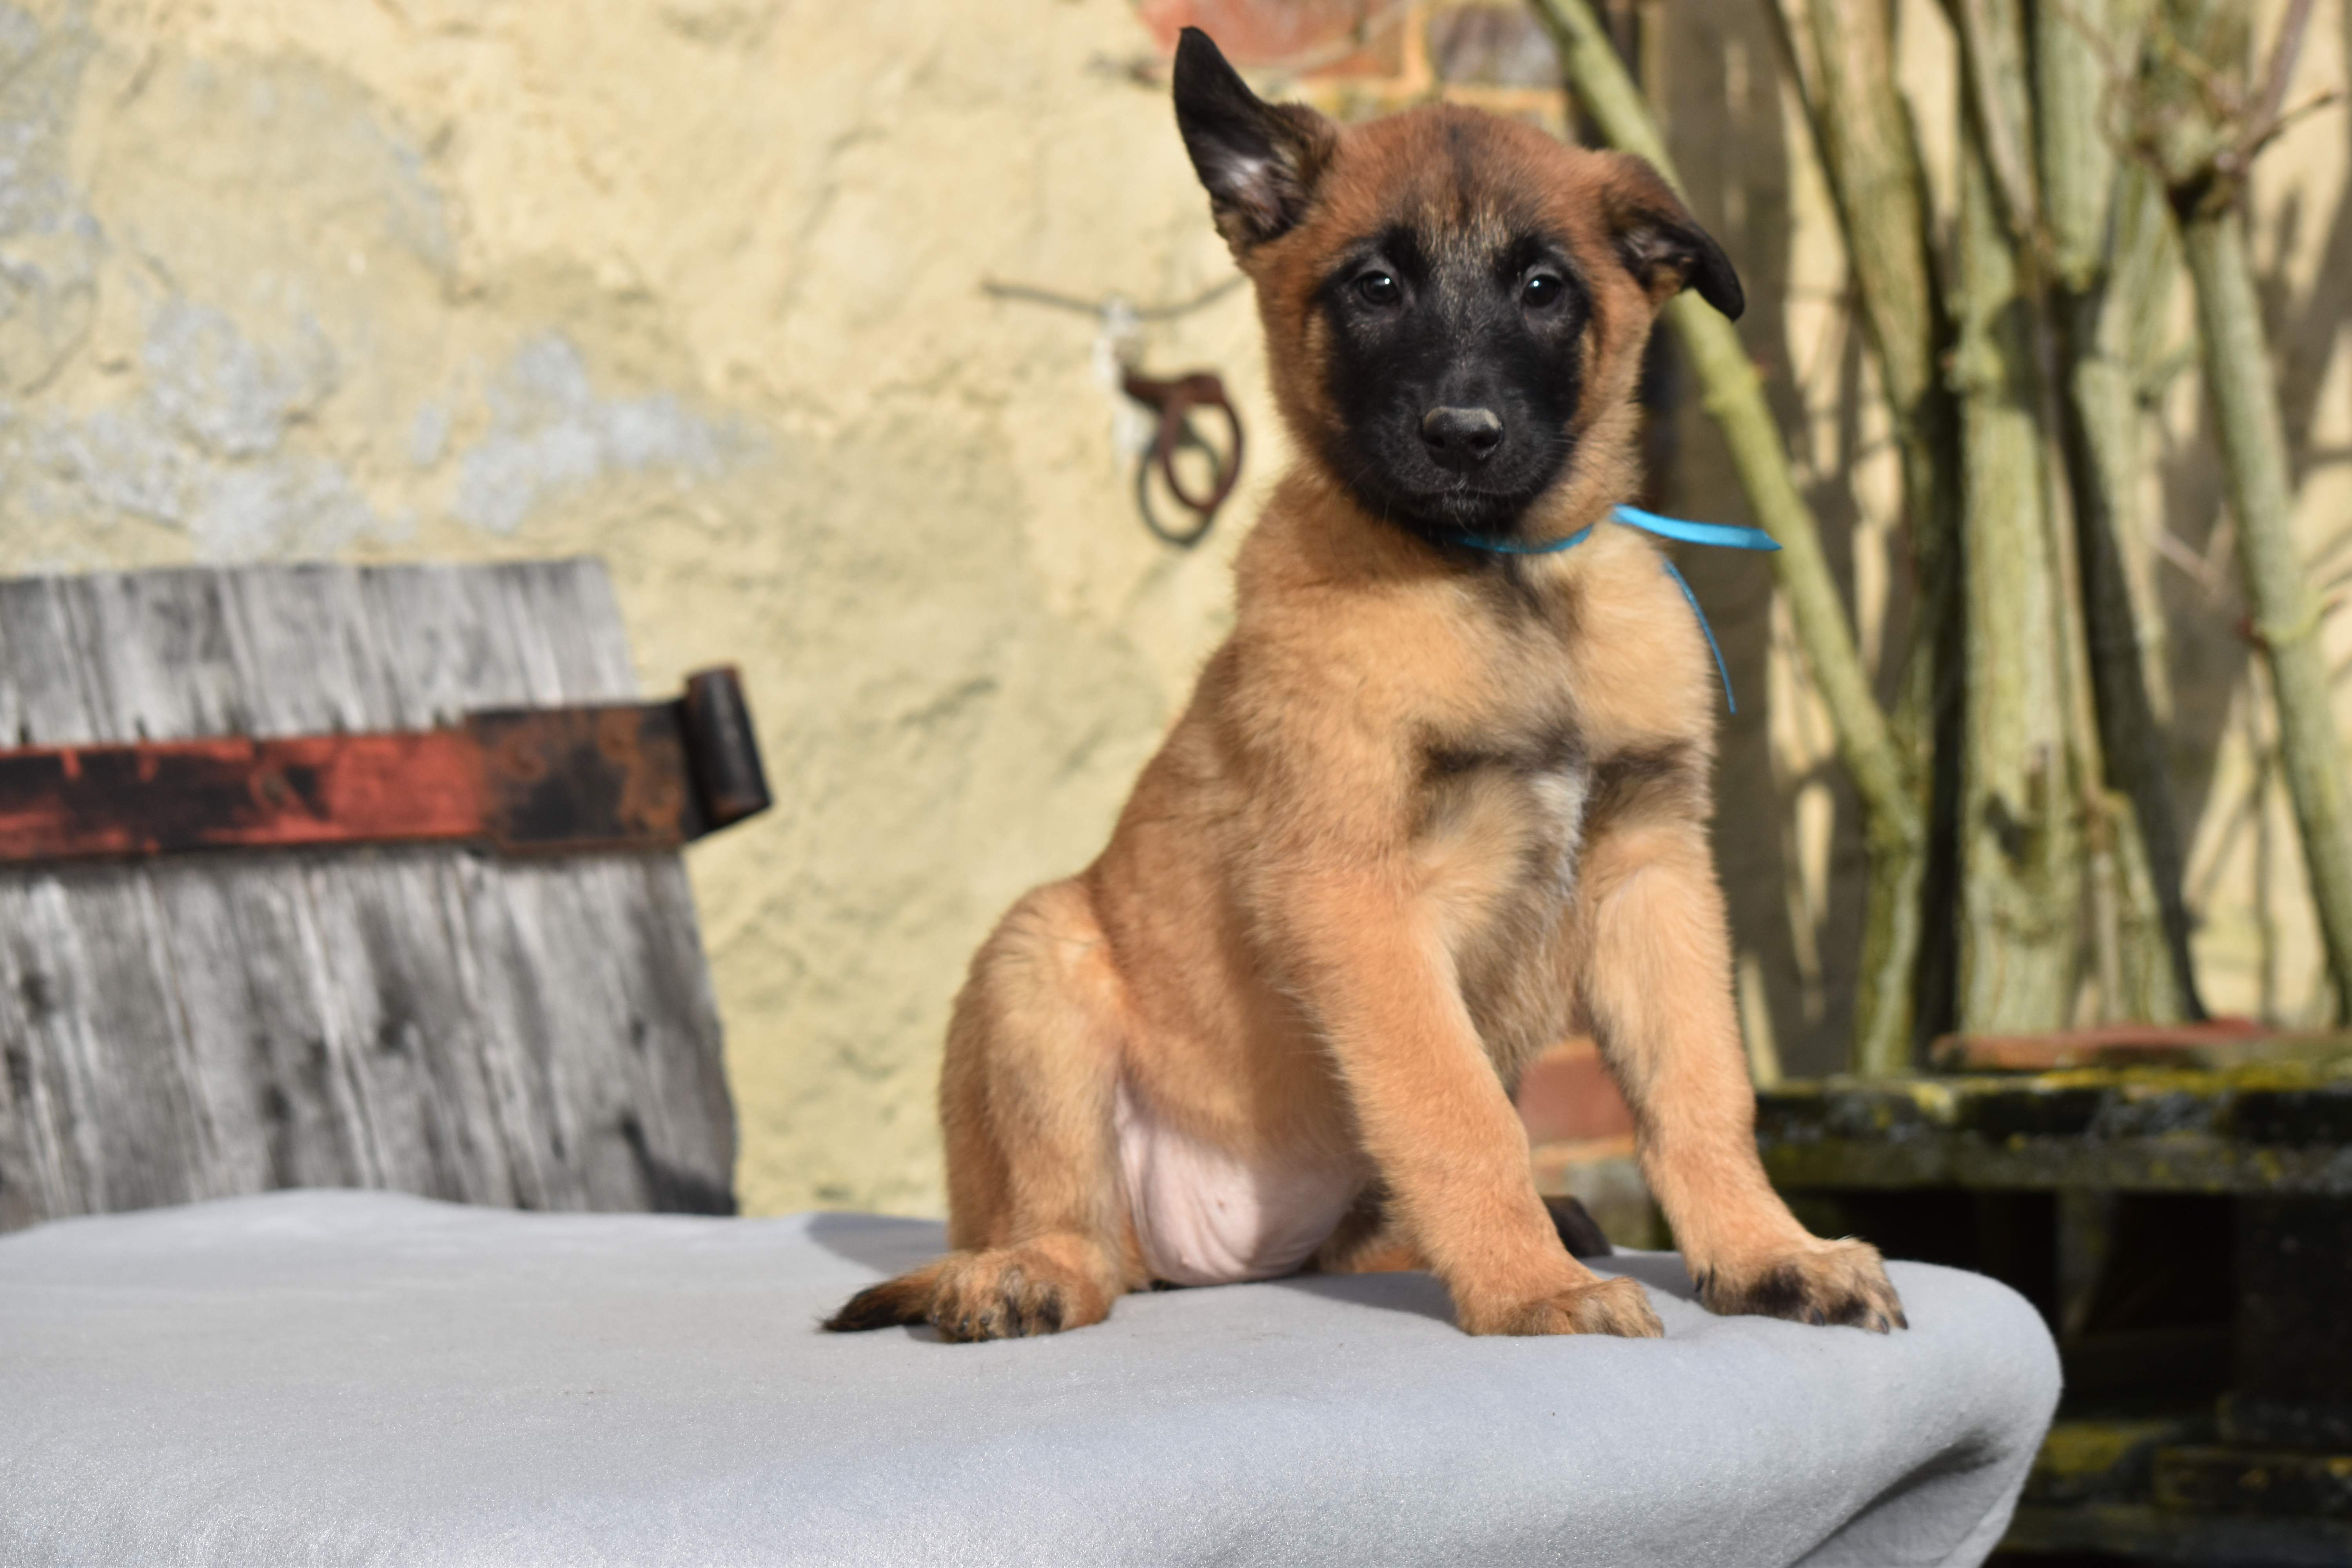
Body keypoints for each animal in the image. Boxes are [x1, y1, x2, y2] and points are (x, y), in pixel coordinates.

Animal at [826, 28, 1905, 1343]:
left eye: (1543, 288)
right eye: (1375, 286)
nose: (1462, 434)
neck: (1503, 577)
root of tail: (1223, 1253)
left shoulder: (1651, 871)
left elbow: (1701, 1094)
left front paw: (1764, 1254)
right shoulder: (1354, 894)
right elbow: (1461, 1112)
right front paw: (1531, 1287)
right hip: (1036, 966)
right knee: (1074, 1225)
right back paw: (1025, 1275)